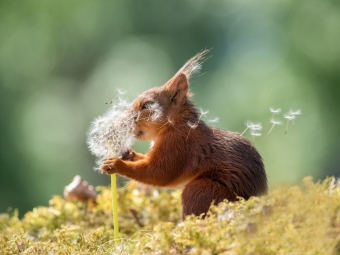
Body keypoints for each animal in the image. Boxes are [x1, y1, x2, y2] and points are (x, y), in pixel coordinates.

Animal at [101, 50, 268, 219]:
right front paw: (128, 154)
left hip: (202, 190)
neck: (174, 124)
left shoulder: (179, 143)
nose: (122, 121)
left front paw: (116, 164)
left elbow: (159, 172)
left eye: (147, 104)